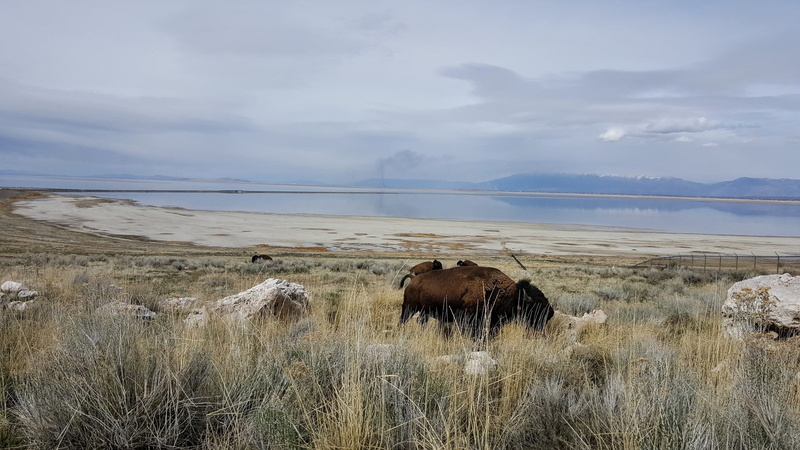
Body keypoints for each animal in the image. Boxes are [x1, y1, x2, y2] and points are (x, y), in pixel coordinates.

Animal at [400, 266, 553, 338]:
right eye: (535, 304)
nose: (551, 313)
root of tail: (413, 280)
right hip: (409, 308)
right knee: (403, 321)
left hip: (423, 312)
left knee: (421, 322)